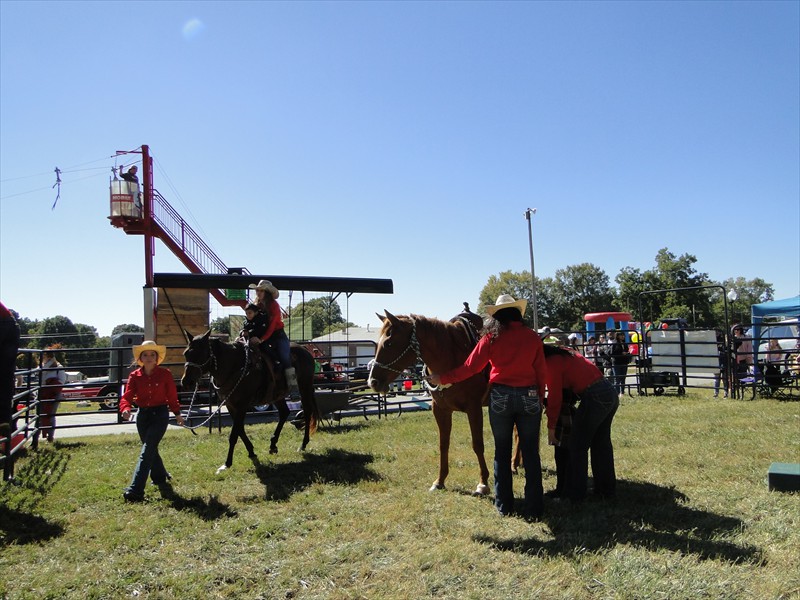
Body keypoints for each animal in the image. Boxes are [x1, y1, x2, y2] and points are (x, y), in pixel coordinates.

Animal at [180, 330, 320, 476]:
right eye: (186, 353)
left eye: (201, 353)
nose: (186, 382)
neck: (236, 366)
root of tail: (305, 350)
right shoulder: (230, 405)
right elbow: (240, 430)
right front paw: (251, 451)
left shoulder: (242, 405)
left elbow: (234, 434)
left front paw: (227, 463)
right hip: (277, 395)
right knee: (284, 413)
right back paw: (273, 444)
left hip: (305, 387)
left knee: (307, 412)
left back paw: (303, 444)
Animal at [366, 308, 490, 494]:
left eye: (388, 343)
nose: (372, 382)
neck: (453, 359)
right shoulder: (440, 410)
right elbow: (443, 444)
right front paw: (440, 481)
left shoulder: (474, 408)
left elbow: (477, 444)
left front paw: (483, 483)